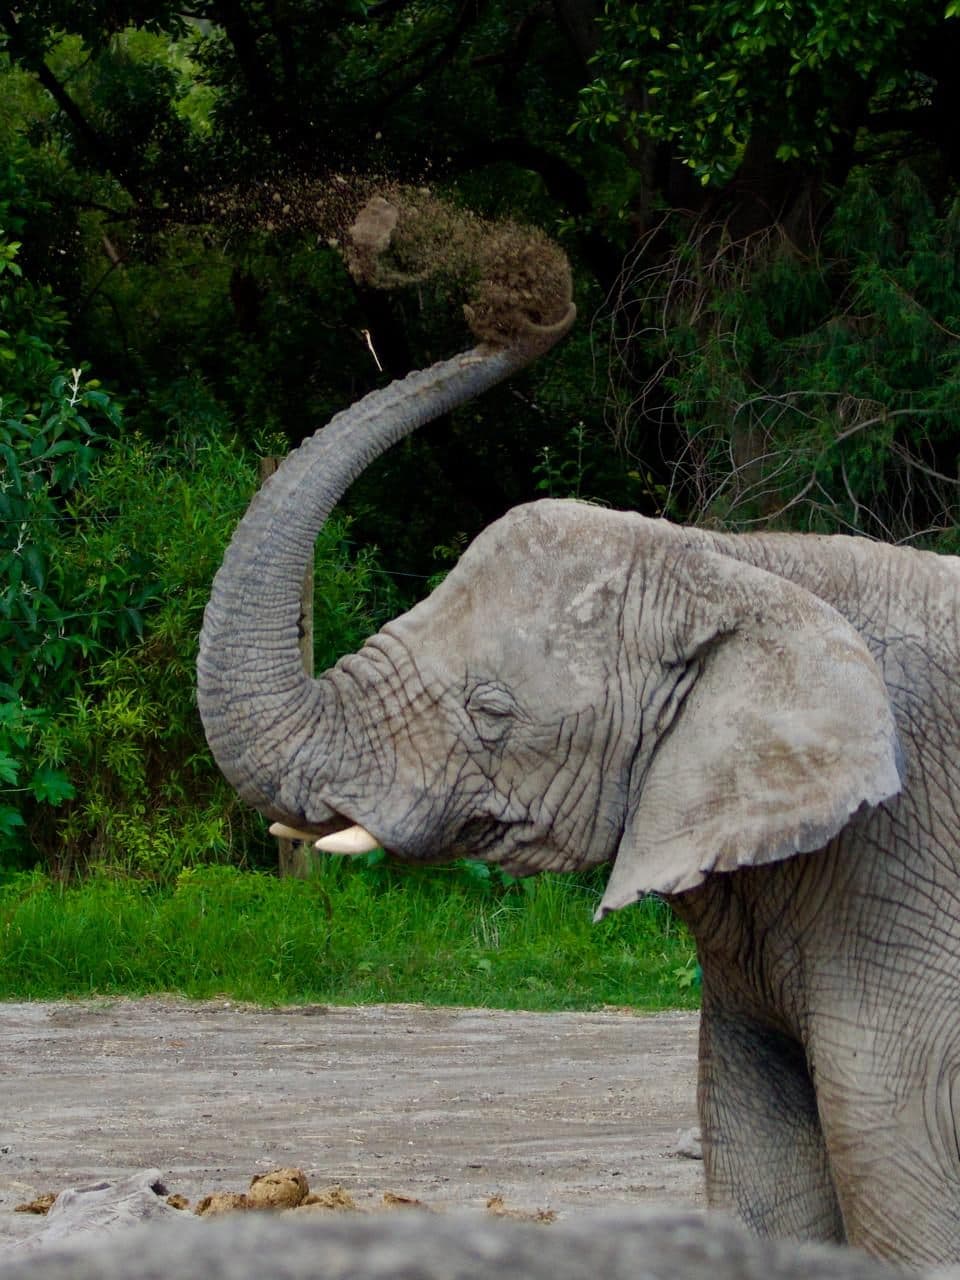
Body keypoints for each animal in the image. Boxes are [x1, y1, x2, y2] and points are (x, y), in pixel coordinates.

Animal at [198, 212, 960, 1267]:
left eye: (492, 711)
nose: (531, 301)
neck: (746, 562)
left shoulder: (901, 863)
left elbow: (898, 1162)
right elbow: (760, 1159)